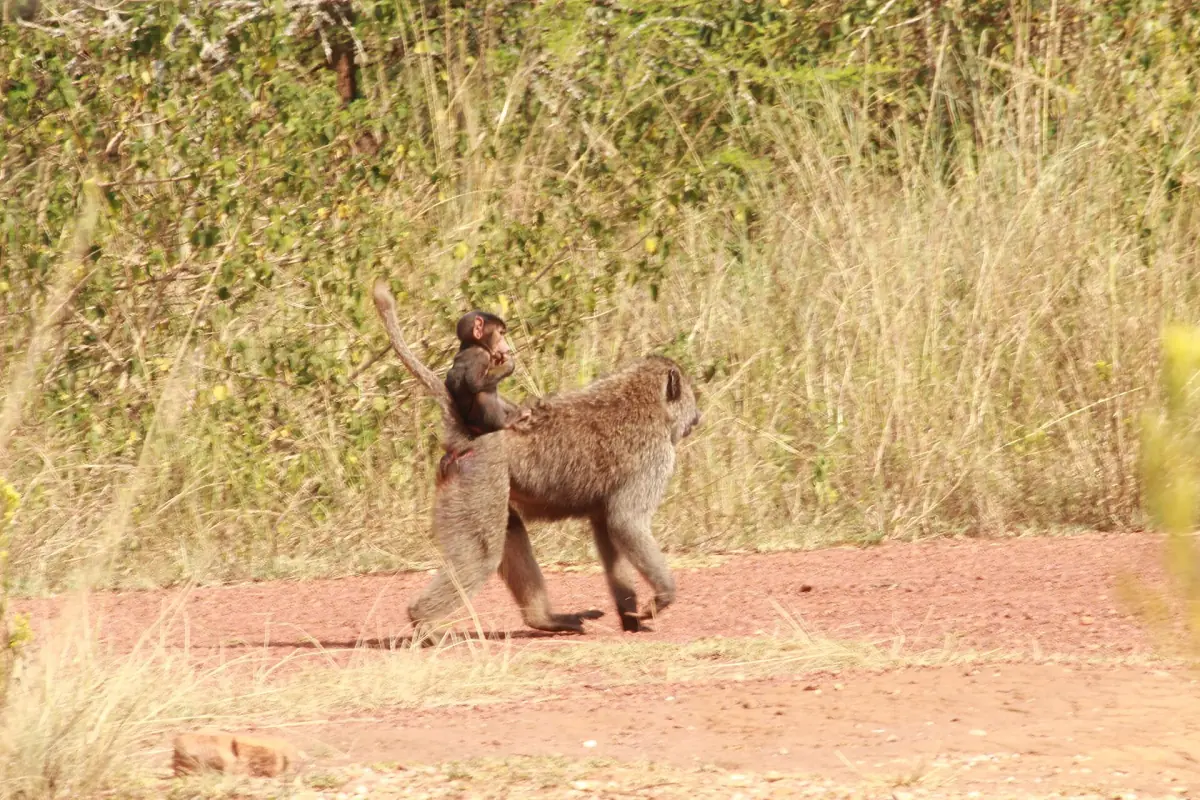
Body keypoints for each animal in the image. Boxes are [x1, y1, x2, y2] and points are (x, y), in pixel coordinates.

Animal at [372, 278, 702, 637]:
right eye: (690, 395)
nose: (698, 417)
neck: (647, 403)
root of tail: (469, 432)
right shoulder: (656, 460)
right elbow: (626, 522)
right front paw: (662, 598)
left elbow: (607, 529)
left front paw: (630, 618)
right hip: (481, 477)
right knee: (480, 557)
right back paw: (424, 622)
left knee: (510, 531)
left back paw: (545, 620)